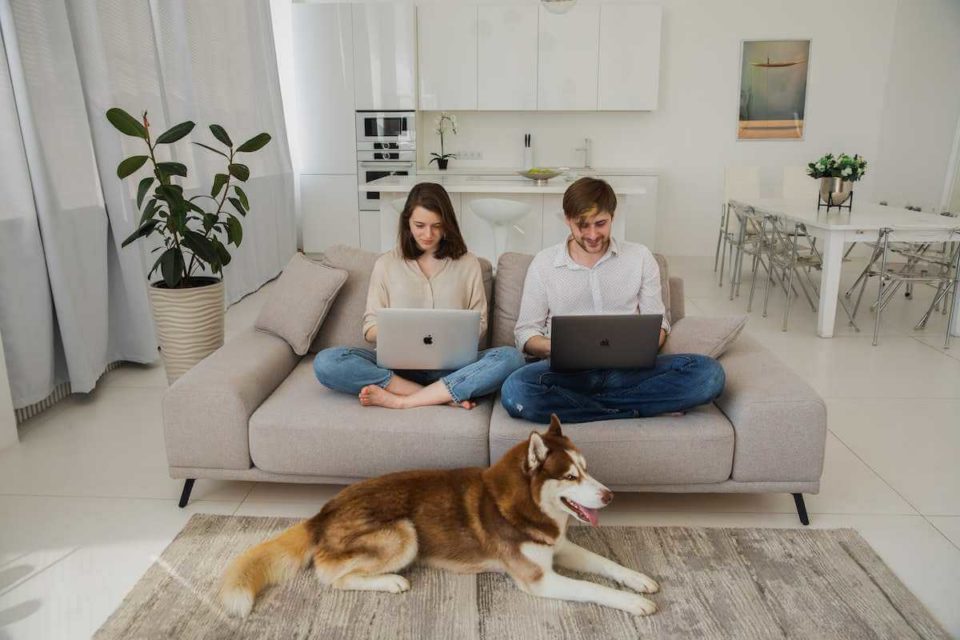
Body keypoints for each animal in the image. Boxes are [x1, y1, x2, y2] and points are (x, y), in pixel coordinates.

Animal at [221, 418, 660, 616]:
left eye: (587, 468)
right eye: (571, 476)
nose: (610, 495)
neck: (525, 505)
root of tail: (323, 512)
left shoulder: (559, 547)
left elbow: (604, 563)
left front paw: (637, 580)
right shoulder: (541, 579)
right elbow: (591, 588)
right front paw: (631, 601)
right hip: (404, 533)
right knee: (331, 576)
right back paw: (390, 582)